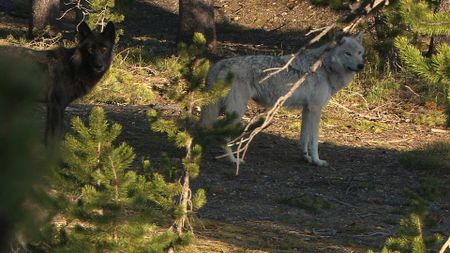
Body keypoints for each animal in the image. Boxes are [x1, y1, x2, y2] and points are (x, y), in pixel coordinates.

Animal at [200, 32, 366, 167]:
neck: (324, 67)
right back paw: (233, 160)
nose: (361, 65)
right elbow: (314, 141)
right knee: (223, 136)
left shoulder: (307, 110)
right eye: (347, 53)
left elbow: (304, 138)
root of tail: (219, 63)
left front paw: (305, 158)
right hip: (237, 111)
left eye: (359, 52)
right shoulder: (315, 109)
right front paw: (317, 161)